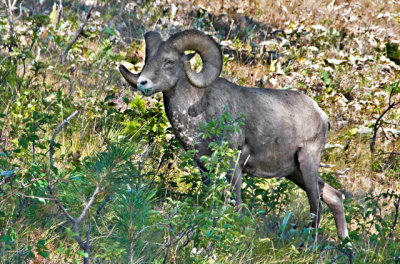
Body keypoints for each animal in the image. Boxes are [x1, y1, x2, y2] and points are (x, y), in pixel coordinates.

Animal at [118, 29, 346, 238]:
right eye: (148, 59)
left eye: (169, 61)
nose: (143, 83)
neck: (198, 112)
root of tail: (322, 115)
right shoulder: (204, 167)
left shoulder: (233, 163)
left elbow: (235, 202)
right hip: (295, 171)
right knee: (334, 196)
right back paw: (344, 243)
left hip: (307, 163)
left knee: (316, 205)